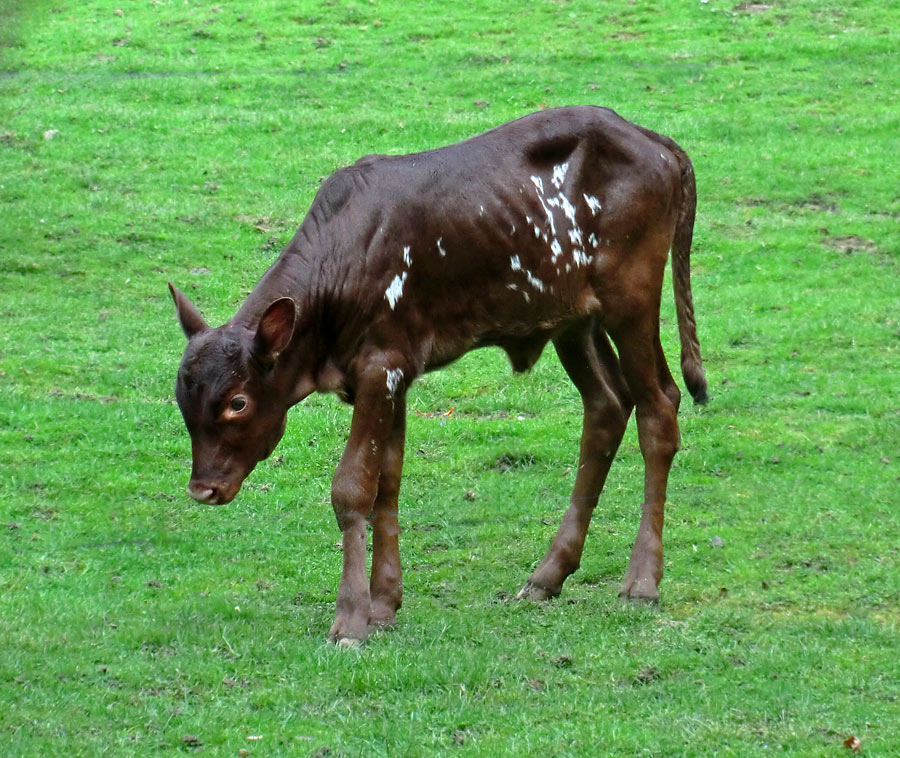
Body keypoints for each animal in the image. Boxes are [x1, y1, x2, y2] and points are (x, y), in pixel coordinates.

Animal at [167, 107, 704, 648]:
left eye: (237, 402)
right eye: (182, 400)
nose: (202, 489)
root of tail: (652, 139)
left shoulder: (380, 367)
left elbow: (352, 487)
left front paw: (351, 619)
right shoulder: (394, 373)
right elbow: (387, 482)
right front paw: (384, 604)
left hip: (630, 297)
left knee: (659, 406)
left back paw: (641, 581)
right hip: (573, 320)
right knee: (607, 406)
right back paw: (548, 574)